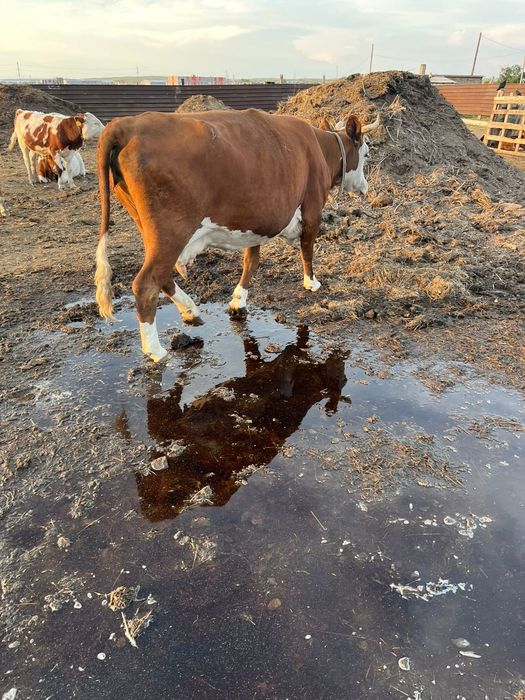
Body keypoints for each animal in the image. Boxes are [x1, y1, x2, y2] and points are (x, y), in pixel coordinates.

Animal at [94, 108, 380, 362]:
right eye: (366, 153)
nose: (365, 187)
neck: (320, 148)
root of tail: (125, 125)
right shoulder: (312, 208)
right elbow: (307, 248)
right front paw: (312, 283)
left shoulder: (256, 221)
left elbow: (251, 261)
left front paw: (238, 301)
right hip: (171, 232)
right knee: (146, 283)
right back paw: (156, 350)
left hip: (150, 230)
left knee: (162, 277)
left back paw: (191, 311)